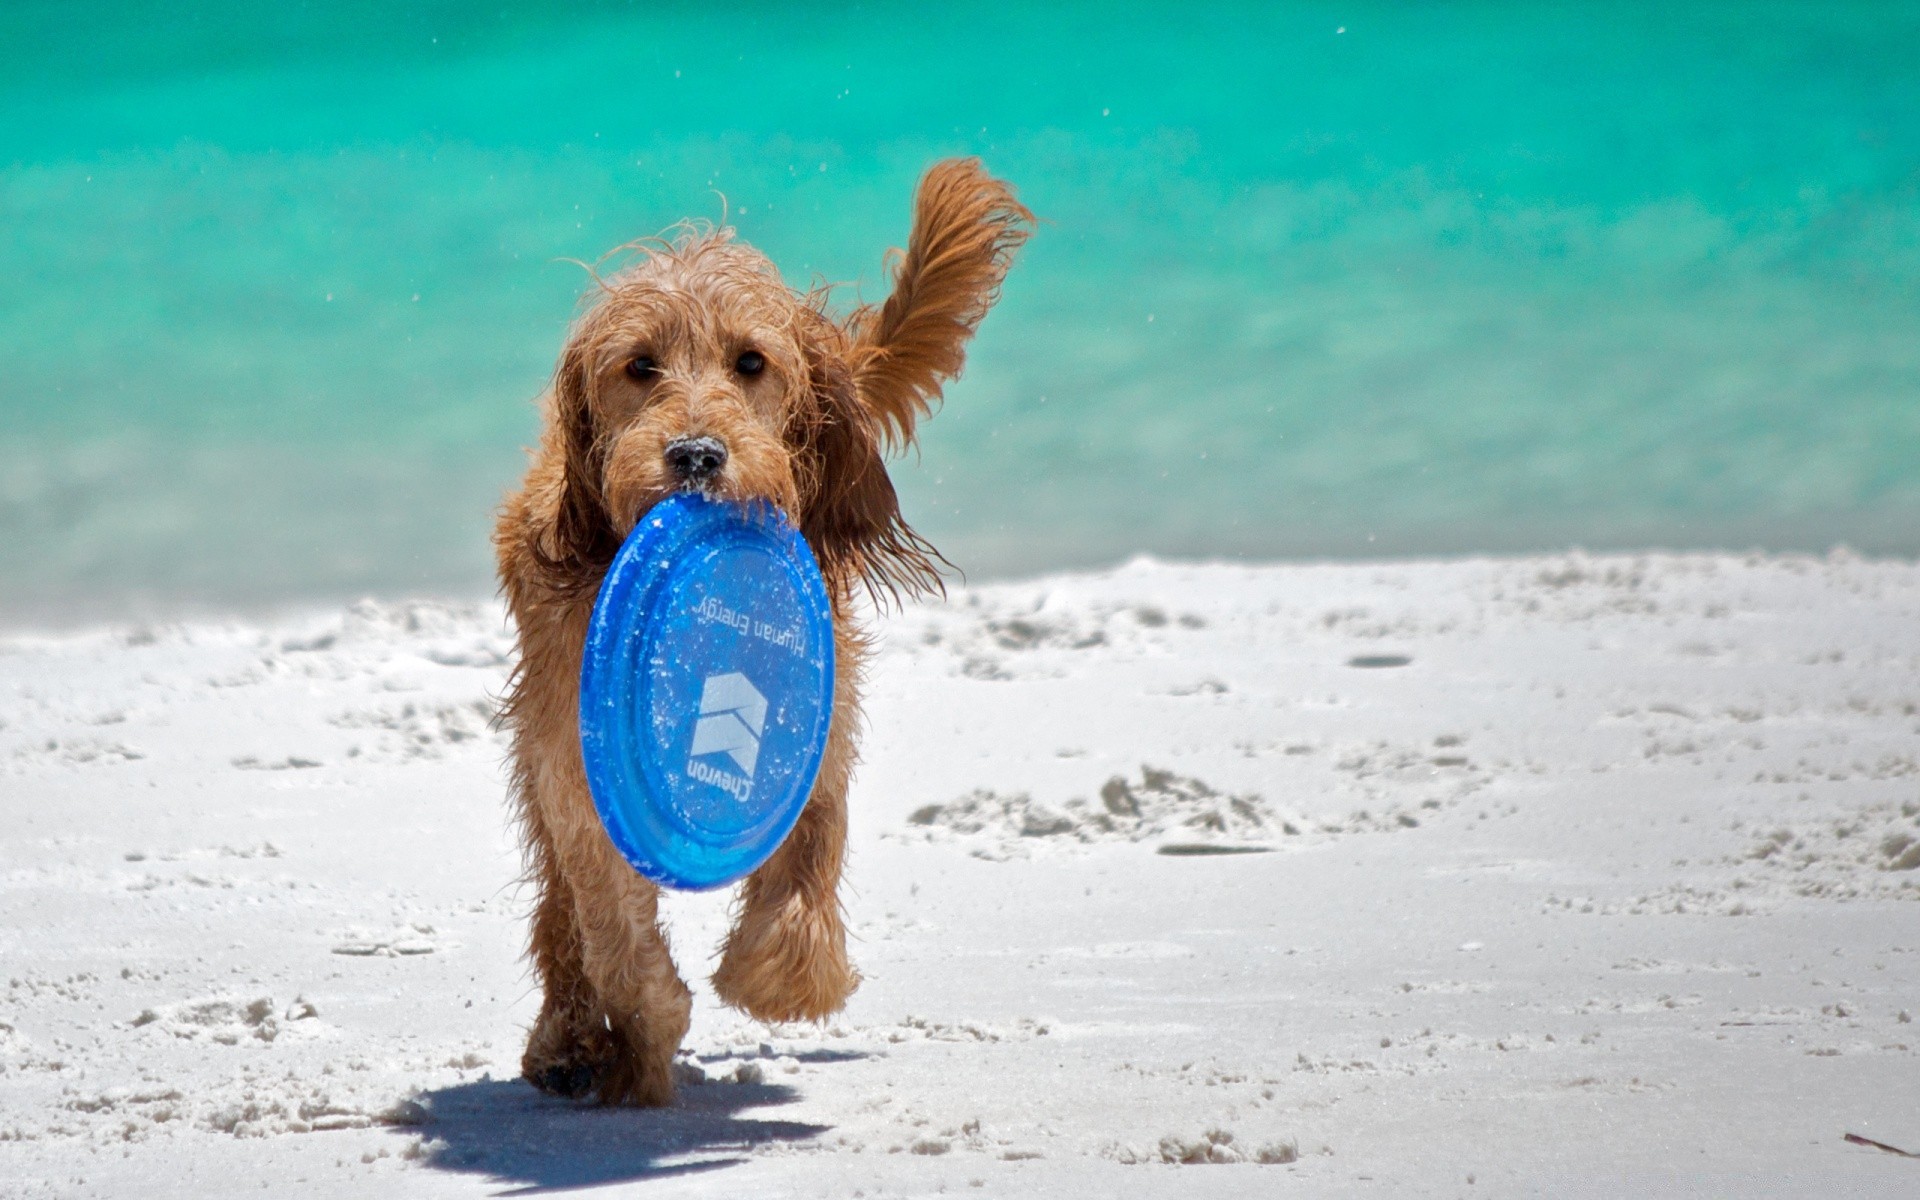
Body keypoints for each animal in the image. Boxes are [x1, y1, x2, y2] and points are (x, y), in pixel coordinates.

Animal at [495, 159, 1036, 1105]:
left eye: (751, 361)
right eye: (639, 366)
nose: (696, 455)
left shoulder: (820, 725)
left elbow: (809, 859)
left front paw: (779, 980)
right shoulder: (578, 765)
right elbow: (611, 922)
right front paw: (648, 1029)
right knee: (560, 911)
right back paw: (569, 1040)